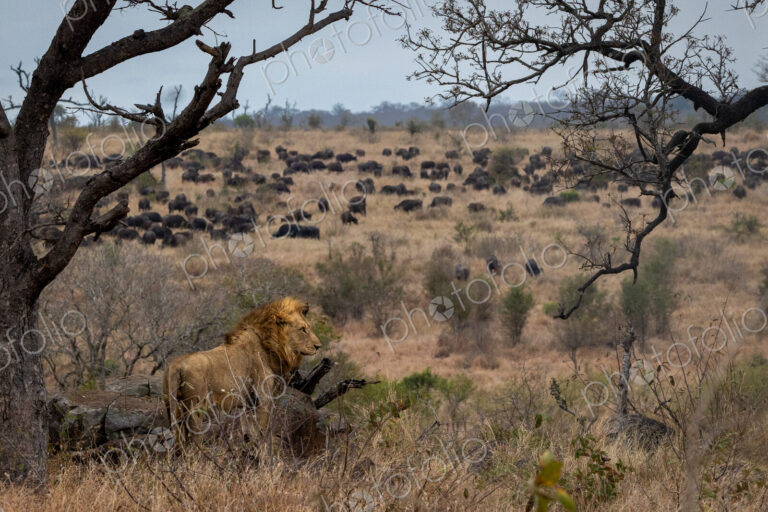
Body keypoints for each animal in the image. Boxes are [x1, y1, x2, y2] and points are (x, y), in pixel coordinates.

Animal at [163, 297, 321, 444]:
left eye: (309, 327)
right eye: (303, 329)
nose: (318, 346)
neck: (270, 346)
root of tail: (176, 365)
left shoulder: (247, 404)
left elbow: (249, 435)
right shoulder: (262, 400)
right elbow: (262, 434)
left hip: (171, 407)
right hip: (195, 409)